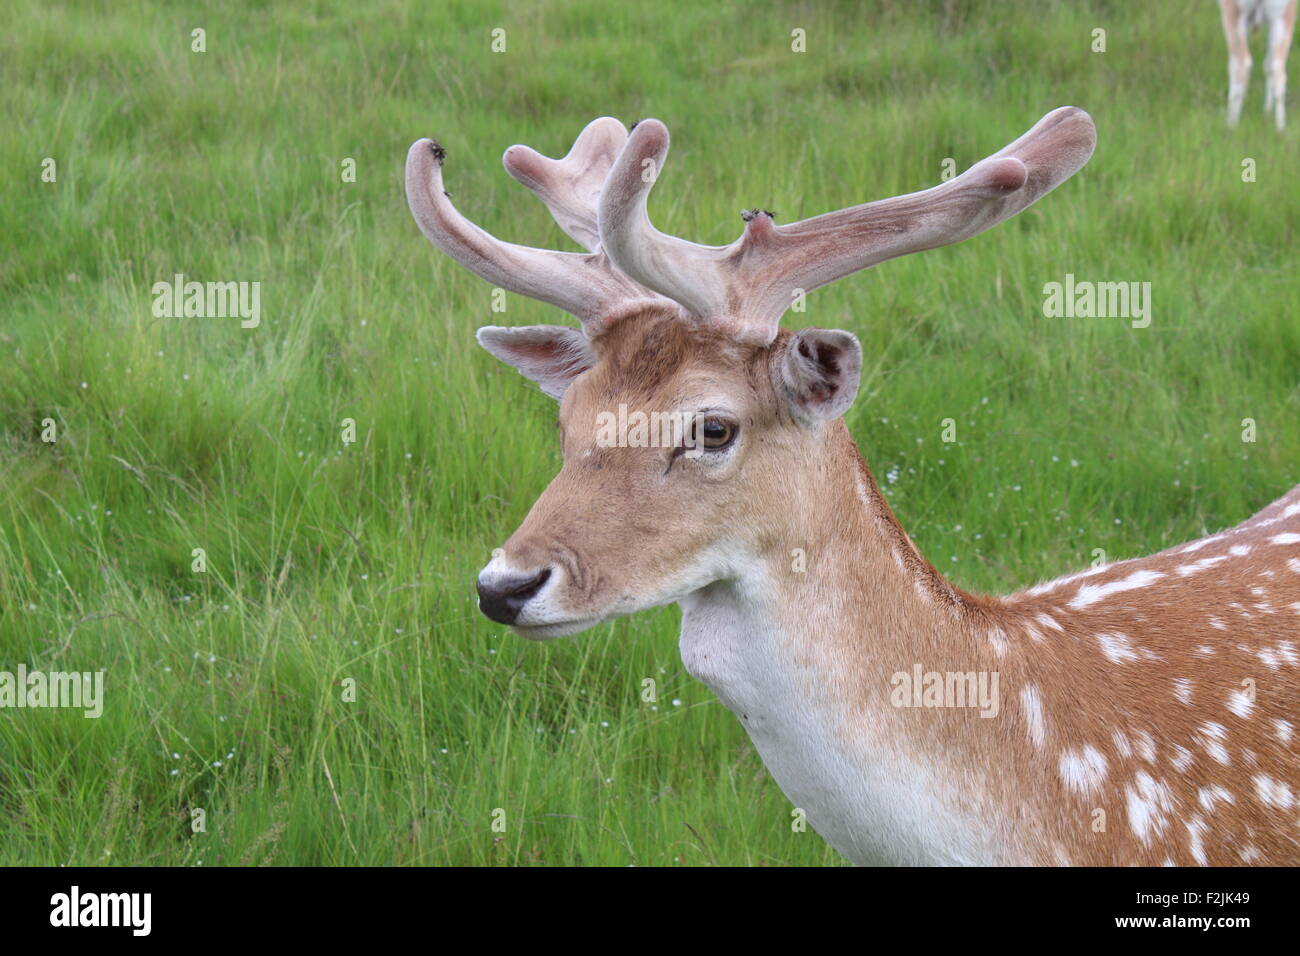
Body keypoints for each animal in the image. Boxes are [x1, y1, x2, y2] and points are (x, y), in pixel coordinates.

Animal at [1219, 0, 1297, 129]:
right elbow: (1268, 65)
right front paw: (1267, 112)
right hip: (1282, 18)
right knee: (1278, 69)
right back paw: (1280, 127)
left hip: (1234, 13)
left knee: (1241, 63)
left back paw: (1230, 124)